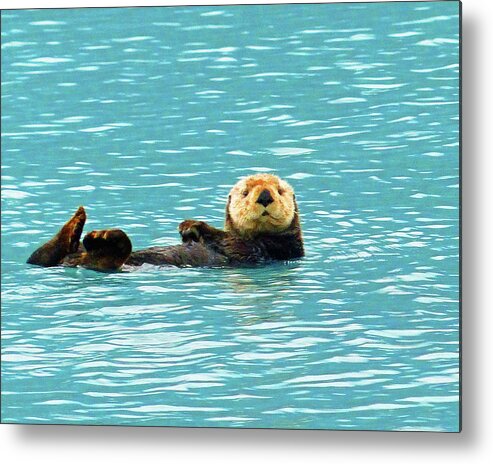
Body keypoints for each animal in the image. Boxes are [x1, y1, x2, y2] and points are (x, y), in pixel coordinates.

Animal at [26, 174, 306, 272]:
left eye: (279, 191)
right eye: (246, 193)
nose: (265, 196)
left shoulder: (276, 249)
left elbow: (231, 241)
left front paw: (192, 225)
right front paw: (188, 232)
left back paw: (105, 238)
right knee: (42, 257)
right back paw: (79, 223)